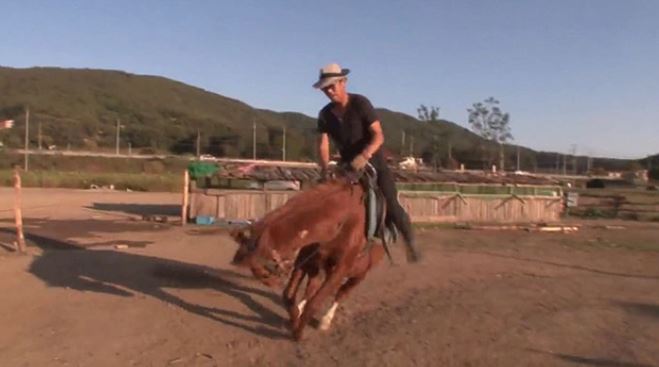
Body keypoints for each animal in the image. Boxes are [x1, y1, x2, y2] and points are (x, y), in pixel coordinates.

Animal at [232, 178, 384, 340]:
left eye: (265, 274)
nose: (275, 284)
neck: (340, 220)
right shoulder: (305, 262)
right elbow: (289, 296)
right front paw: (295, 317)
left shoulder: (339, 270)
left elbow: (314, 303)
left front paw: (298, 332)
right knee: (311, 290)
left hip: (358, 275)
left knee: (341, 293)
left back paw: (325, 321)